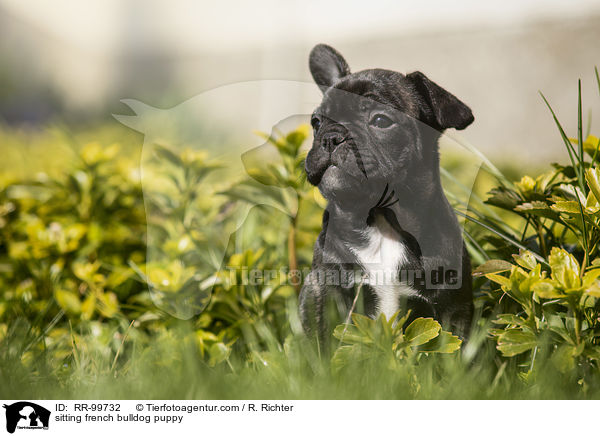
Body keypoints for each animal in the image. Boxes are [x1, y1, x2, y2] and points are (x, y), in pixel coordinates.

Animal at [298, 43, 474, 344]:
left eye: (380, 121)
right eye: (316, 122)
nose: (331, 137)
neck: (380, 219)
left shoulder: (451, 305)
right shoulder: (323, 292)